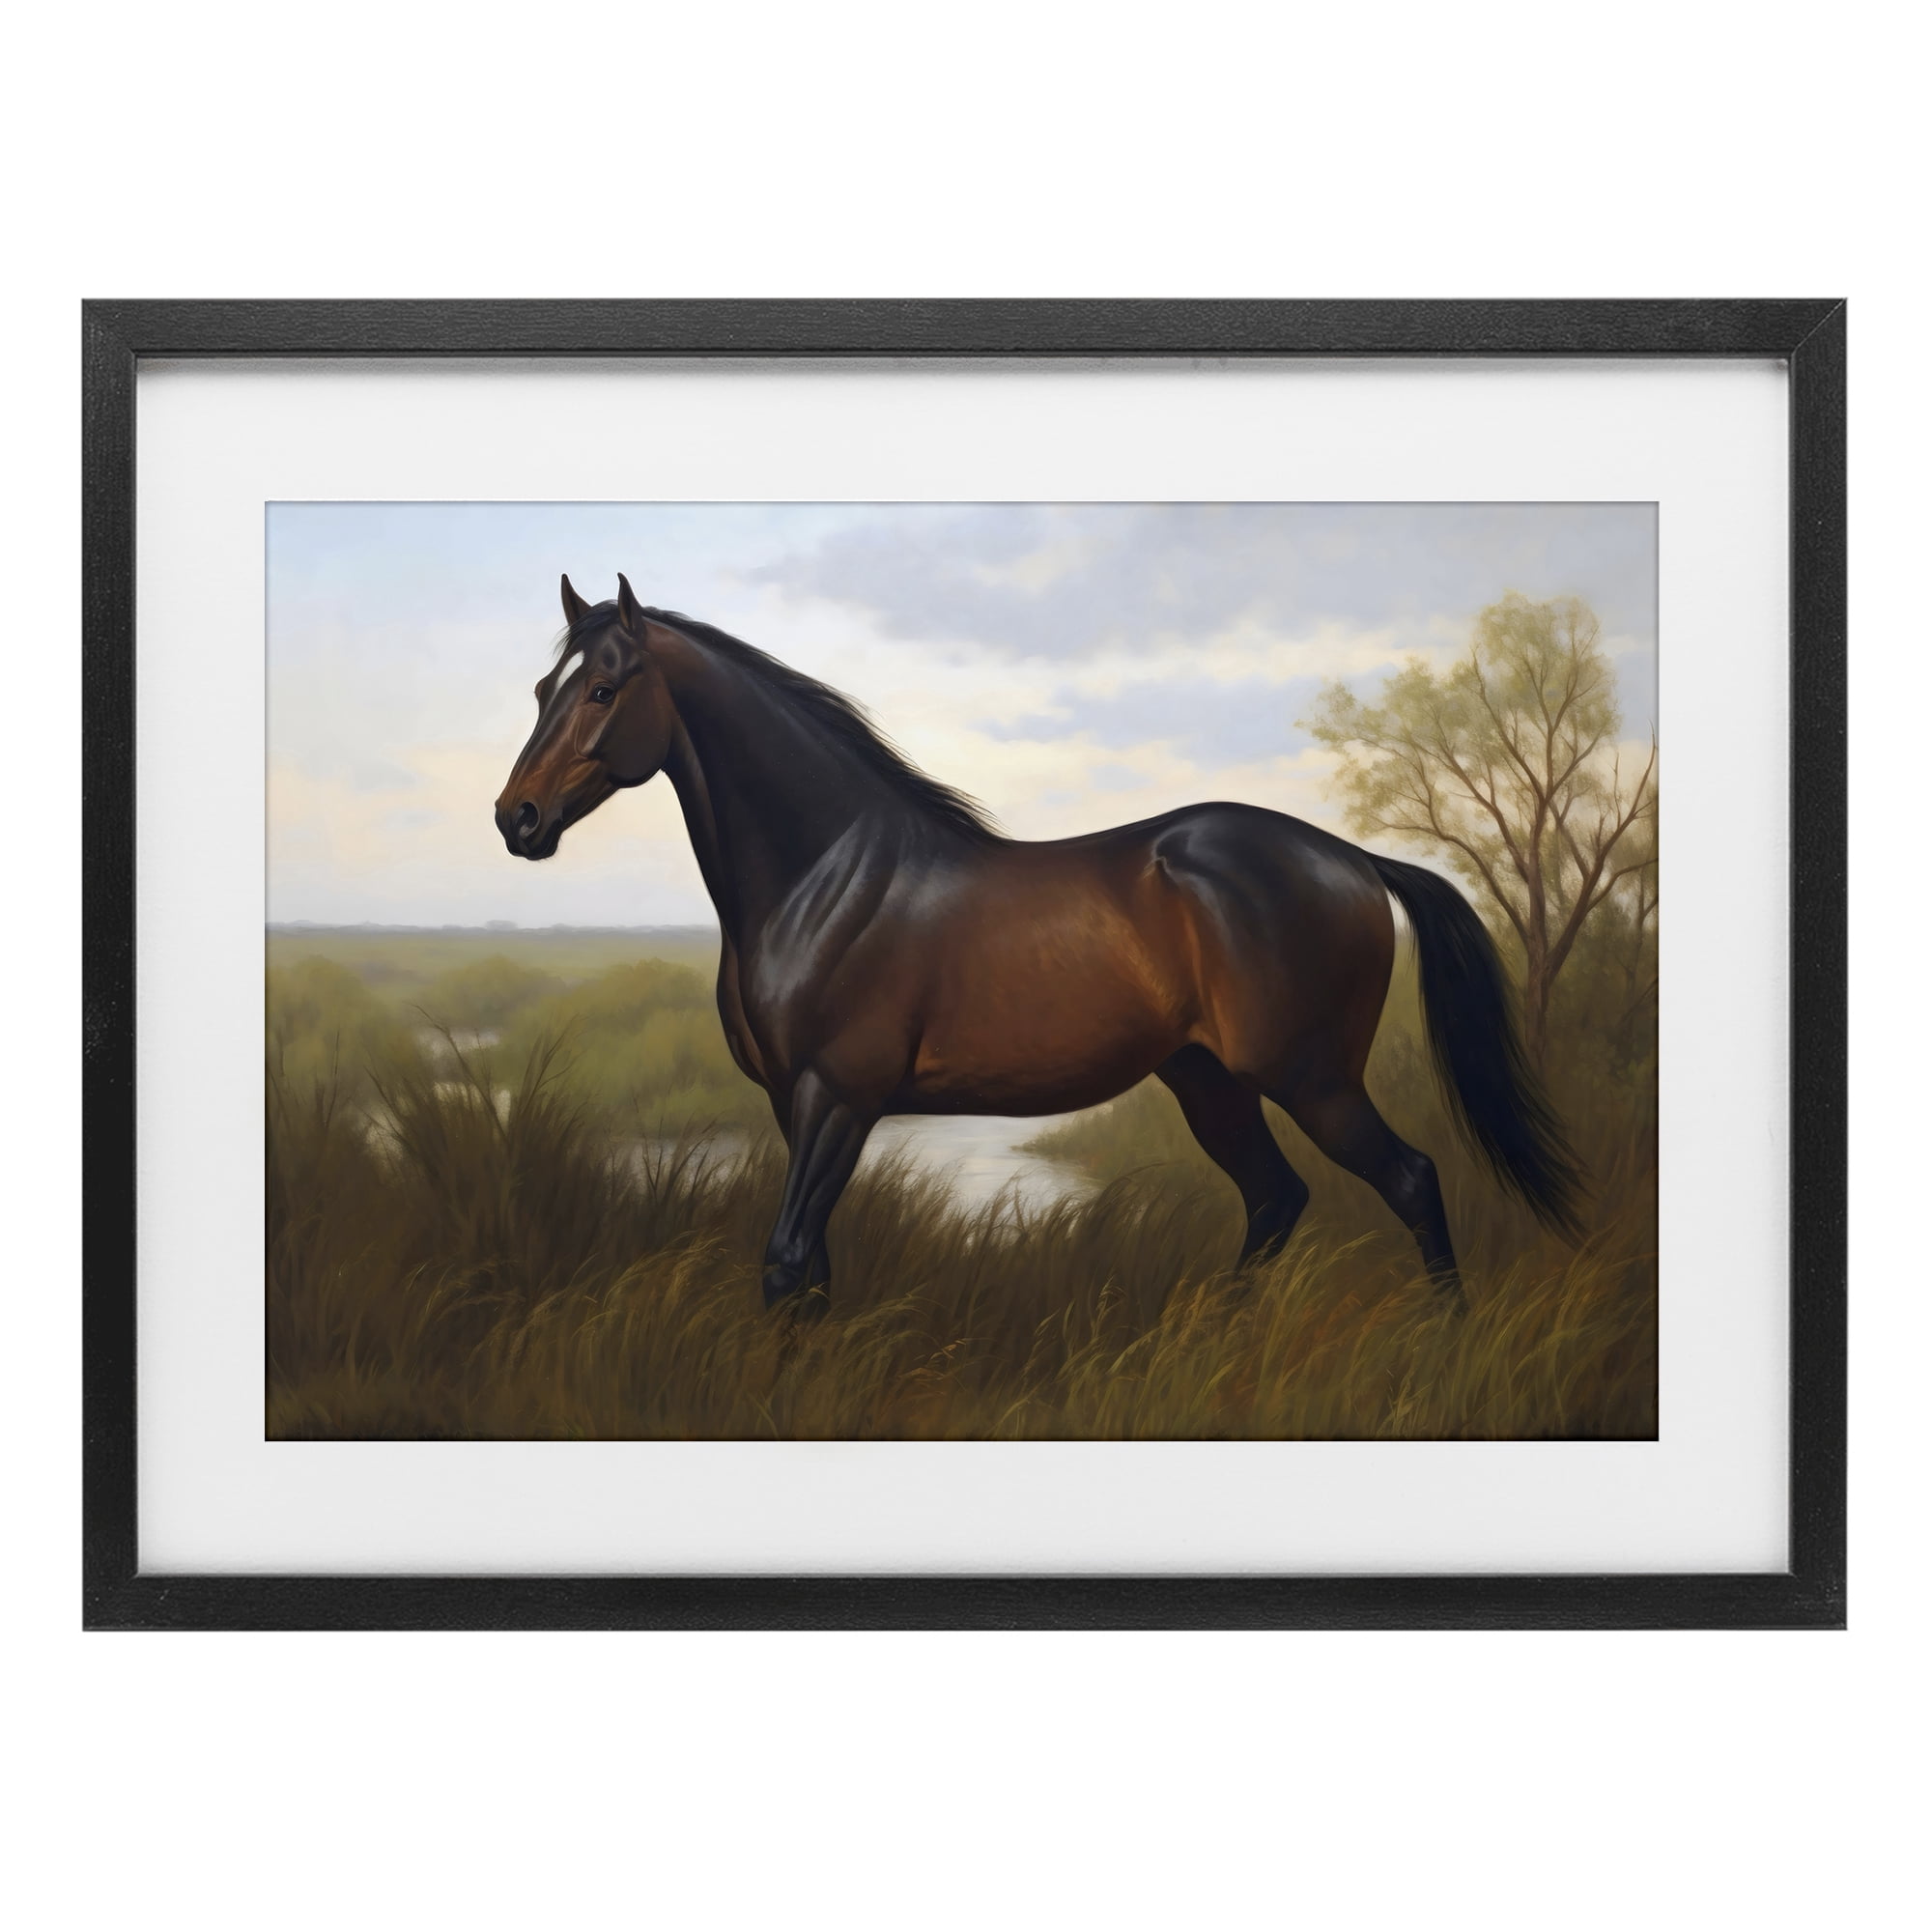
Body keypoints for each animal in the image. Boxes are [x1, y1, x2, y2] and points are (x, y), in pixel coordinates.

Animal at [495, 574, 1583, 1316]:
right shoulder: (790, 1104)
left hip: (1309, 1076)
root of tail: (1351, 858)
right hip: (1207, 1080)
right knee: (1276, 1199)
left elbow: (786, 1259)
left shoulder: (838, 1097)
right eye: (543, 687)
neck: (824, 878)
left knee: (1408, 1180)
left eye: (605, 689)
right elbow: (813, 1270)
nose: (517, 818)